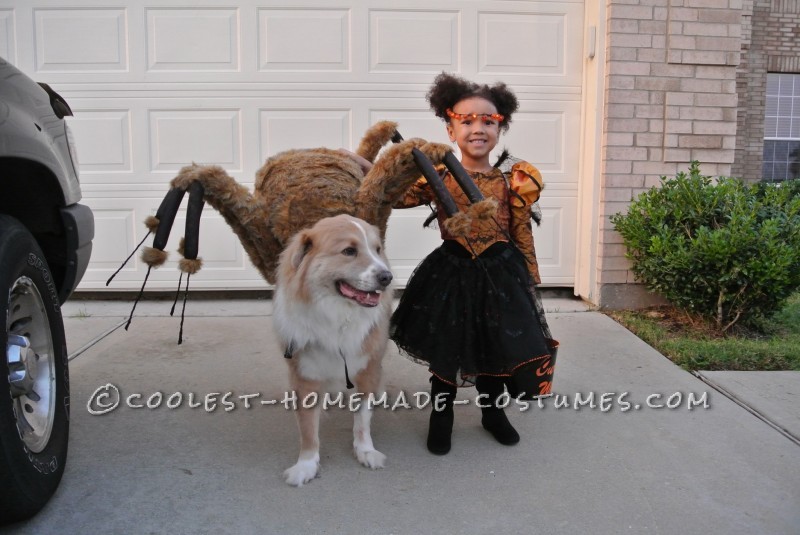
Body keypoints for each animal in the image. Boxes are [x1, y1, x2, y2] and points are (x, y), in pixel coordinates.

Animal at [272, 213, 394, 486]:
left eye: (377, 249)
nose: (387, 277)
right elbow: (307, 429)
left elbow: (362, 419)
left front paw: (365, 451)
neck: (338, 317)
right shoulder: (305, 375)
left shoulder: (366, 368)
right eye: (349, 251)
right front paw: (306, 465)